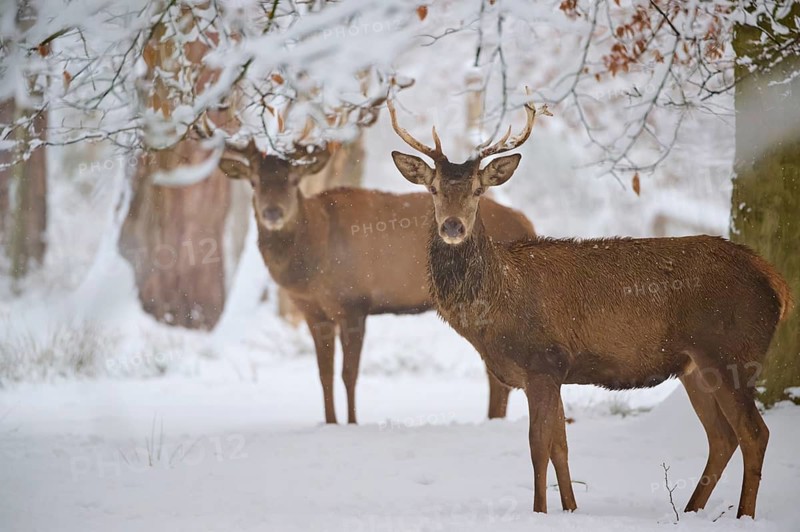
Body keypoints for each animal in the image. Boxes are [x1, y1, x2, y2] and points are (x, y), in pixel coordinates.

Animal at [214, 136, 535, 424]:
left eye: (294, 181)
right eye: (253, 182)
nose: (272, 212)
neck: (313, 264)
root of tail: (527, 223)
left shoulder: (353, 303)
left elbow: (349, 374)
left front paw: (352, 423)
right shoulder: (312, 311)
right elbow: (324, 374)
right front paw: (330, 422)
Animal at [387, 96, 793, 519]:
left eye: (478, 190)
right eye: (434, 189)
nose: (452, 226)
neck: (493, 312)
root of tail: (777, 284)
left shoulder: (542, 361)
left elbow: (538, 447)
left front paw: (539, 512)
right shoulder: (555, 372)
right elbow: (560, 447)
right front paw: (570, 509)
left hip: (732, 352)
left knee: (754, 433)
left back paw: (743, 515)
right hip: (695, 366)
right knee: (722, 438)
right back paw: (692, 510)